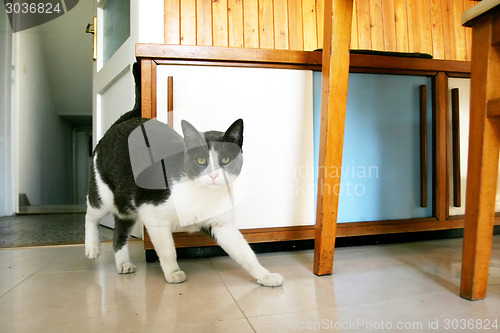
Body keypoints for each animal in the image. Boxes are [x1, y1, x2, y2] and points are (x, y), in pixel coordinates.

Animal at [84, 63, 284, 286]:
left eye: (225, 159)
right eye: (201, 160)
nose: (214, 175)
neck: (200, 192)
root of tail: (121, 122)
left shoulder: (221, 224)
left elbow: (245, 253)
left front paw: (265, 275)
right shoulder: (154, 215)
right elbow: (168, 250)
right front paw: (173, 272)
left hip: (126, 205)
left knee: (120, 230)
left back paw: (123, 264)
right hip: (104, 194)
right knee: (91, 213)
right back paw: (92, 247)